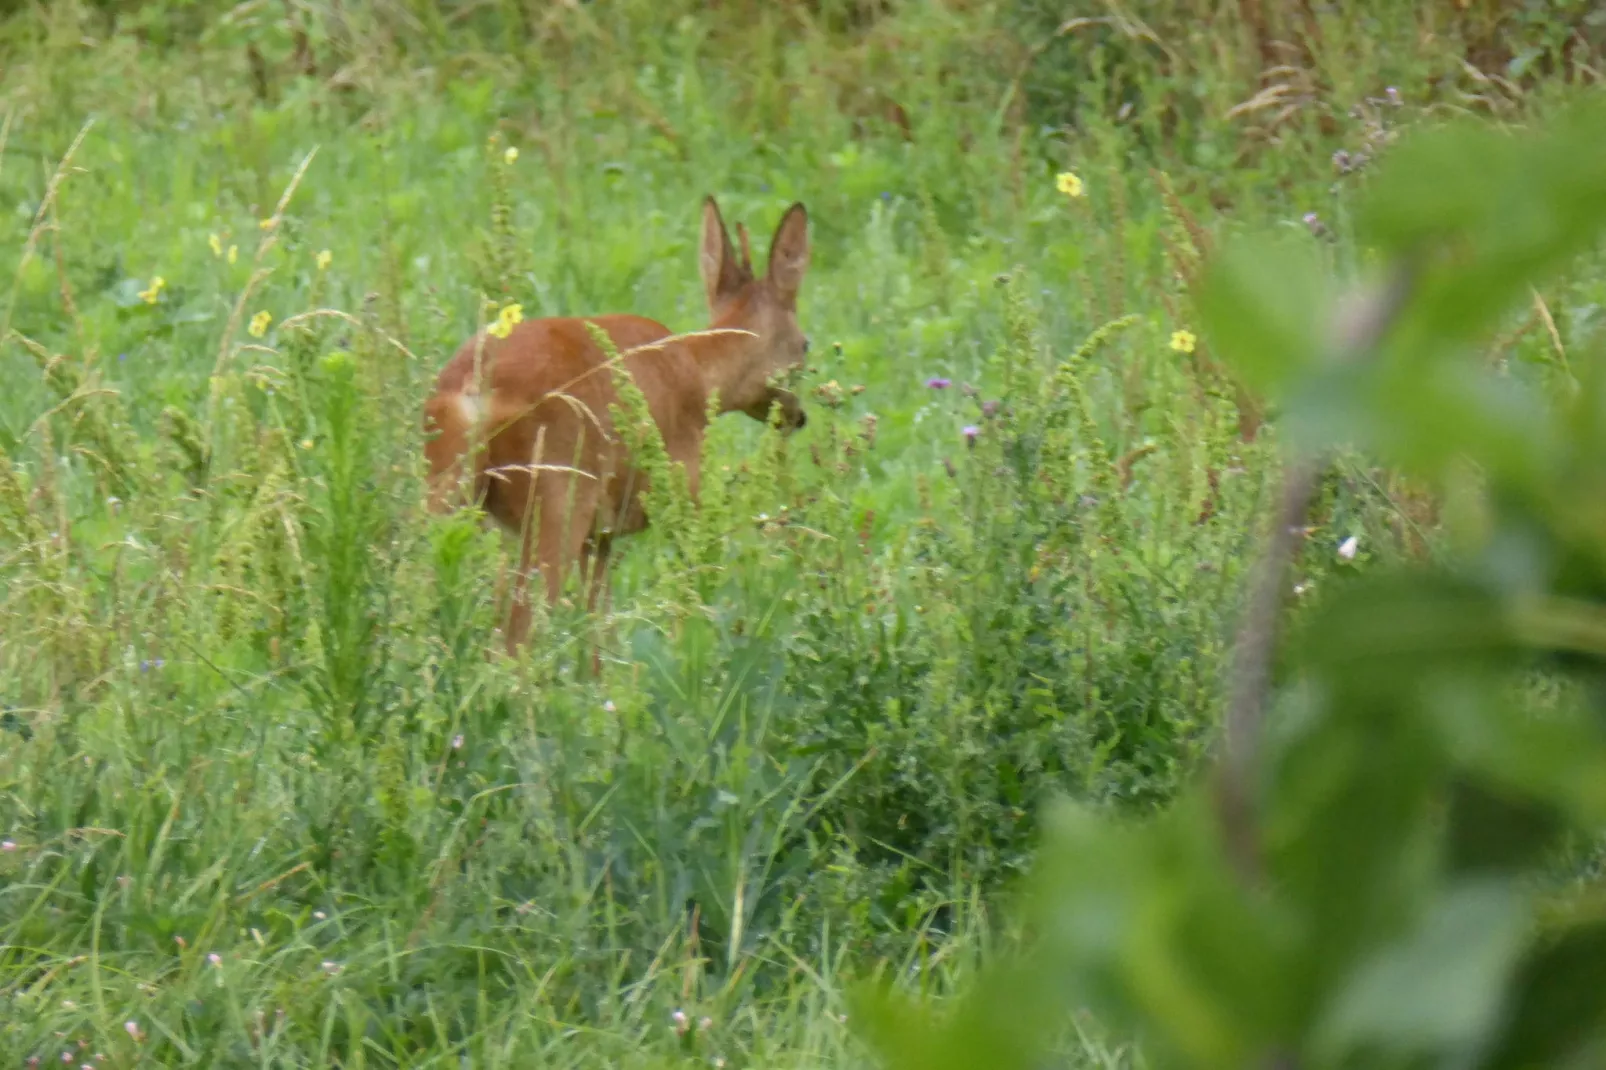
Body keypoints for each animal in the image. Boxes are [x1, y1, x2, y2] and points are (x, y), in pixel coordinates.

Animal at [420, 196, 809, 655]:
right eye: (806, 346)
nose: (797, 416)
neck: (701, 368)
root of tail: (473, 385)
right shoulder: (683, 498)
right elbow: (686, 599)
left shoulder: (600, 536)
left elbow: (599, 635)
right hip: (556, 498)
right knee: (517, 637)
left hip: (443, 485)